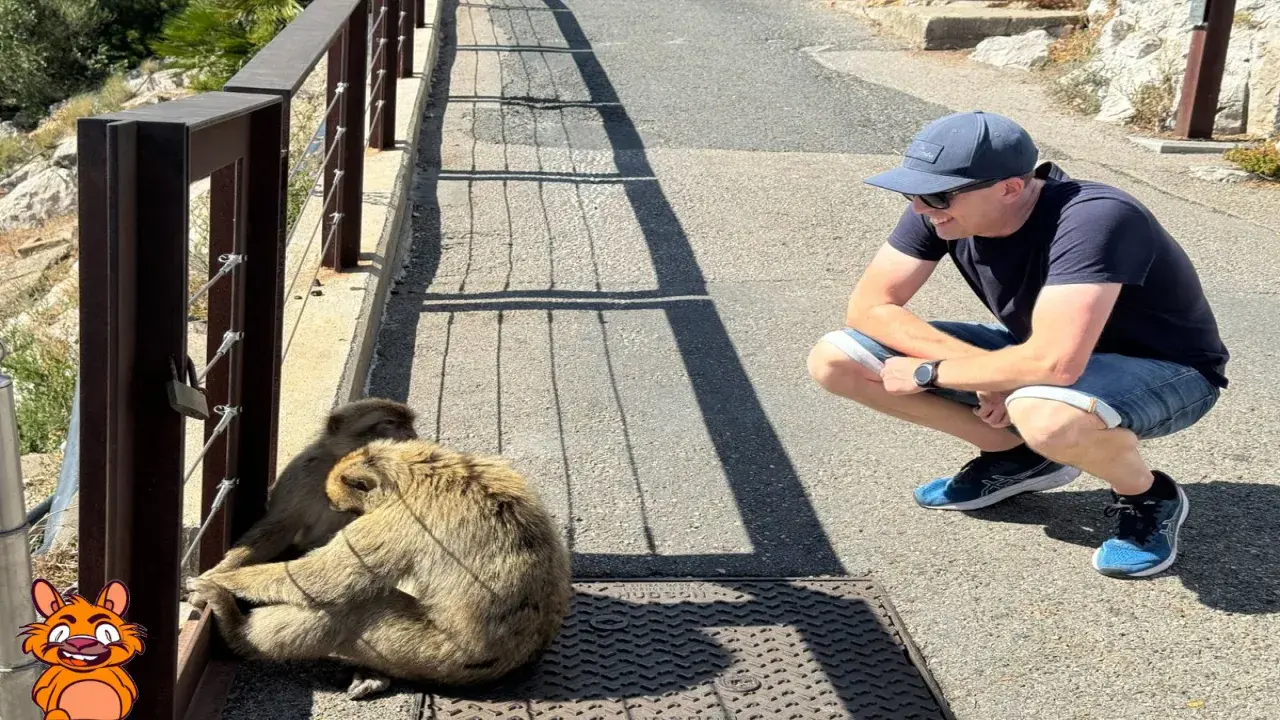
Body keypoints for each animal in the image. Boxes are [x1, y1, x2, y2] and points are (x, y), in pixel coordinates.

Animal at [186, 438, 573, 696]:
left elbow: (323, 581)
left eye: (347, 509)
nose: (346, 519)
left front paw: (224, 578)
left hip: (440, 655)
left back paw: (238, 632)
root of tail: (522, 660)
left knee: (350, 612)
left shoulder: (399, 519)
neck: (417, 472)